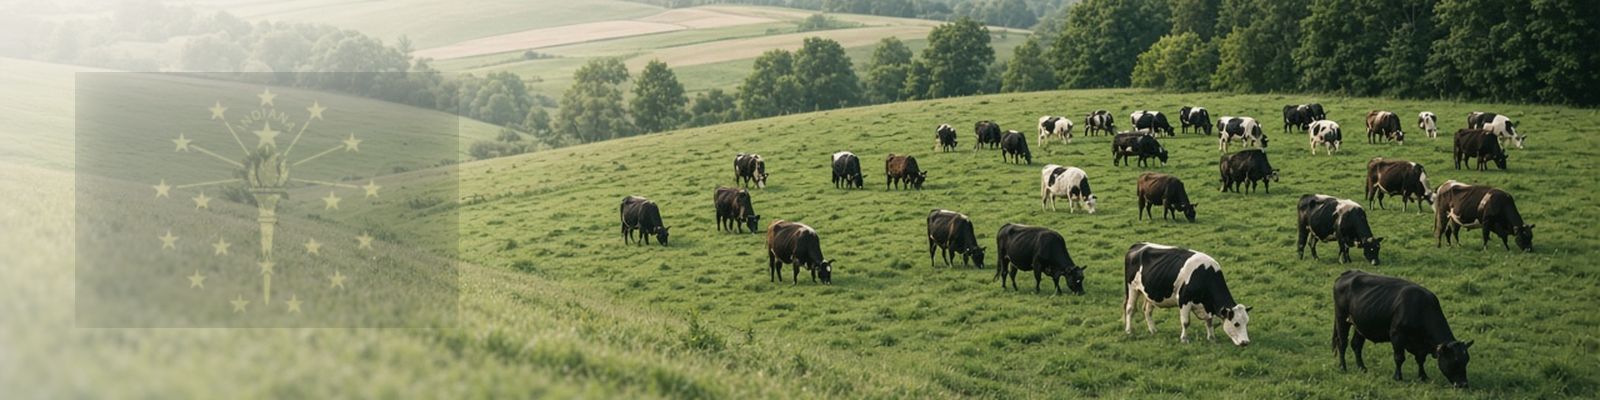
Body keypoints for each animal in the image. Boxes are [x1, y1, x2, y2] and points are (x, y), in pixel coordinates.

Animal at [1123, 242, 1252, 346]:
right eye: (1236, 324)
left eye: (1247, 323)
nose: (1245, 342)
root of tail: (1138, 245)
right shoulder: (1184, 300)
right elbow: (1186, 322)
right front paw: (1184, 339)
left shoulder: (1207, 307)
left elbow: (1209, 321)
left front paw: (1211, 338)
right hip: (1132, 287)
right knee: (1130, 308)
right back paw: (1129, 331)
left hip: (1150, 292)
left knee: (1147, 310)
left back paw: (1153, 330)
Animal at [1334, 270, 1473, 387]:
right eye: (1455, 361)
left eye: (1466, 360)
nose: (1464, 384)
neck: (1420, 308)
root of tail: (1348, 273)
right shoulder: (1396, 336)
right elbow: (1399, 358)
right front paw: (1398, 377)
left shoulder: (1420, 346)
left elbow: (1420, 360)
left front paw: (1423, 376)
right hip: (1342, 317)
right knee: (1342, 343)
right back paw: (1342, 367)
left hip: (1360, 323)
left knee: (1356, 345)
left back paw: (1362, 368)